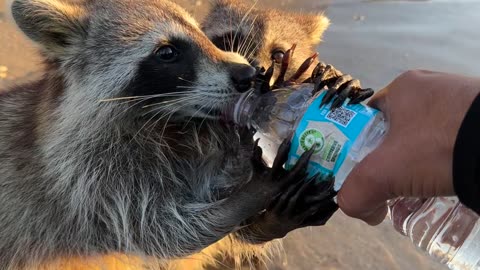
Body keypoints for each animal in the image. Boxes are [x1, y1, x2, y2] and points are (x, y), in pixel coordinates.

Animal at [0, 0, 332, 270]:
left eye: (201, 35)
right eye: (168, 52)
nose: (250, 75)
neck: (161, 121)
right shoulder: (82, 179)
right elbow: (160, 231)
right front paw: (251, 191)